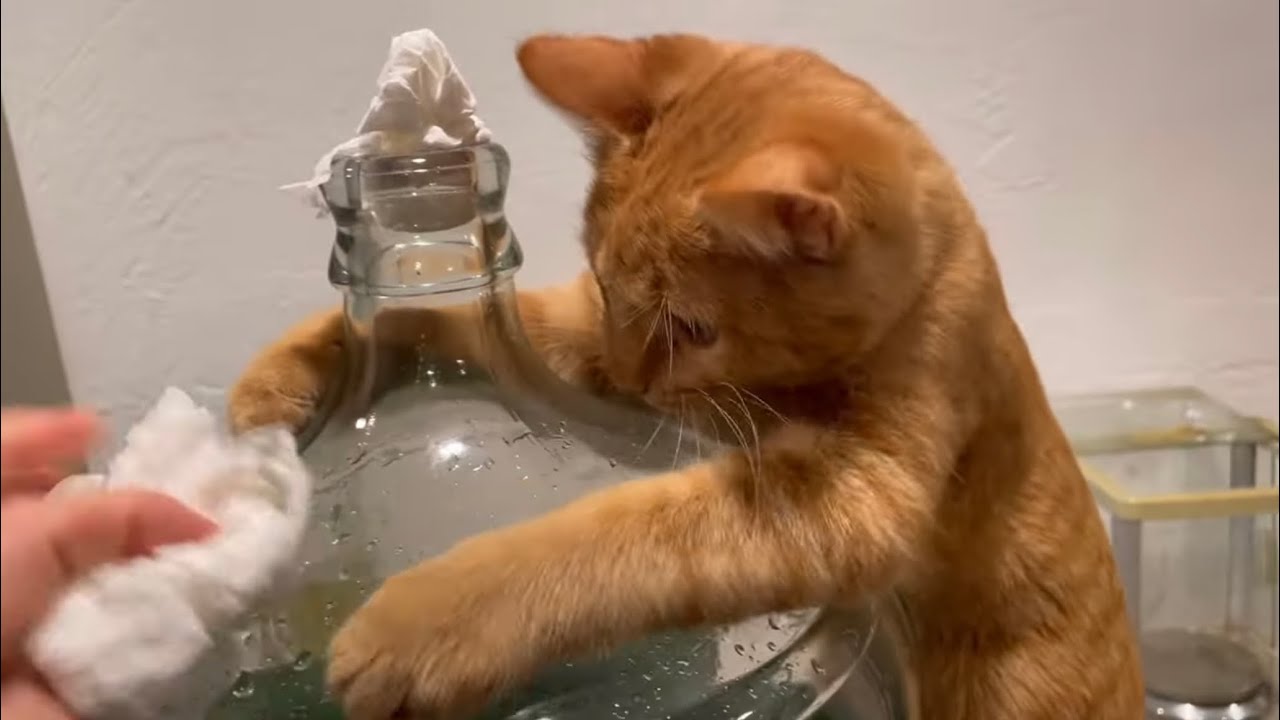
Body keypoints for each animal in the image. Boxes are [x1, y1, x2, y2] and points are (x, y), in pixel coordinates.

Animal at [229, 34, 1143, 720]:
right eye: (605, 283)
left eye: (695, 331)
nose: (633, 381)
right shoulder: (587, 339)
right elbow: (440, 322)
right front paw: (275, 378)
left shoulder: (855, 492)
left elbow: (619, 536)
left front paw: (426, 623)